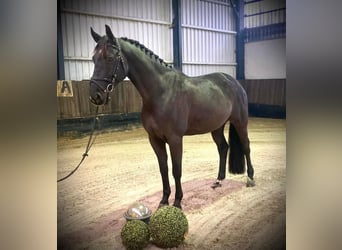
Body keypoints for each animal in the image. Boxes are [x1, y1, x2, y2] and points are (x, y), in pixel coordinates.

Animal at [88, 25, 254, 209]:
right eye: (93, 58)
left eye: (109, 58)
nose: (95, 96)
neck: (161, 92)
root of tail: (233, 81)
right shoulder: (155, 139)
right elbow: (163, 169)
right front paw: (164, 200)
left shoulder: (175, 139)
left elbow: (176, 169)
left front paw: (177, 202)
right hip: (216, 126)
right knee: (223, 147)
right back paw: (218, 180)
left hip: (240, 122)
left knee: (246, 145)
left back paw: (250, 178)